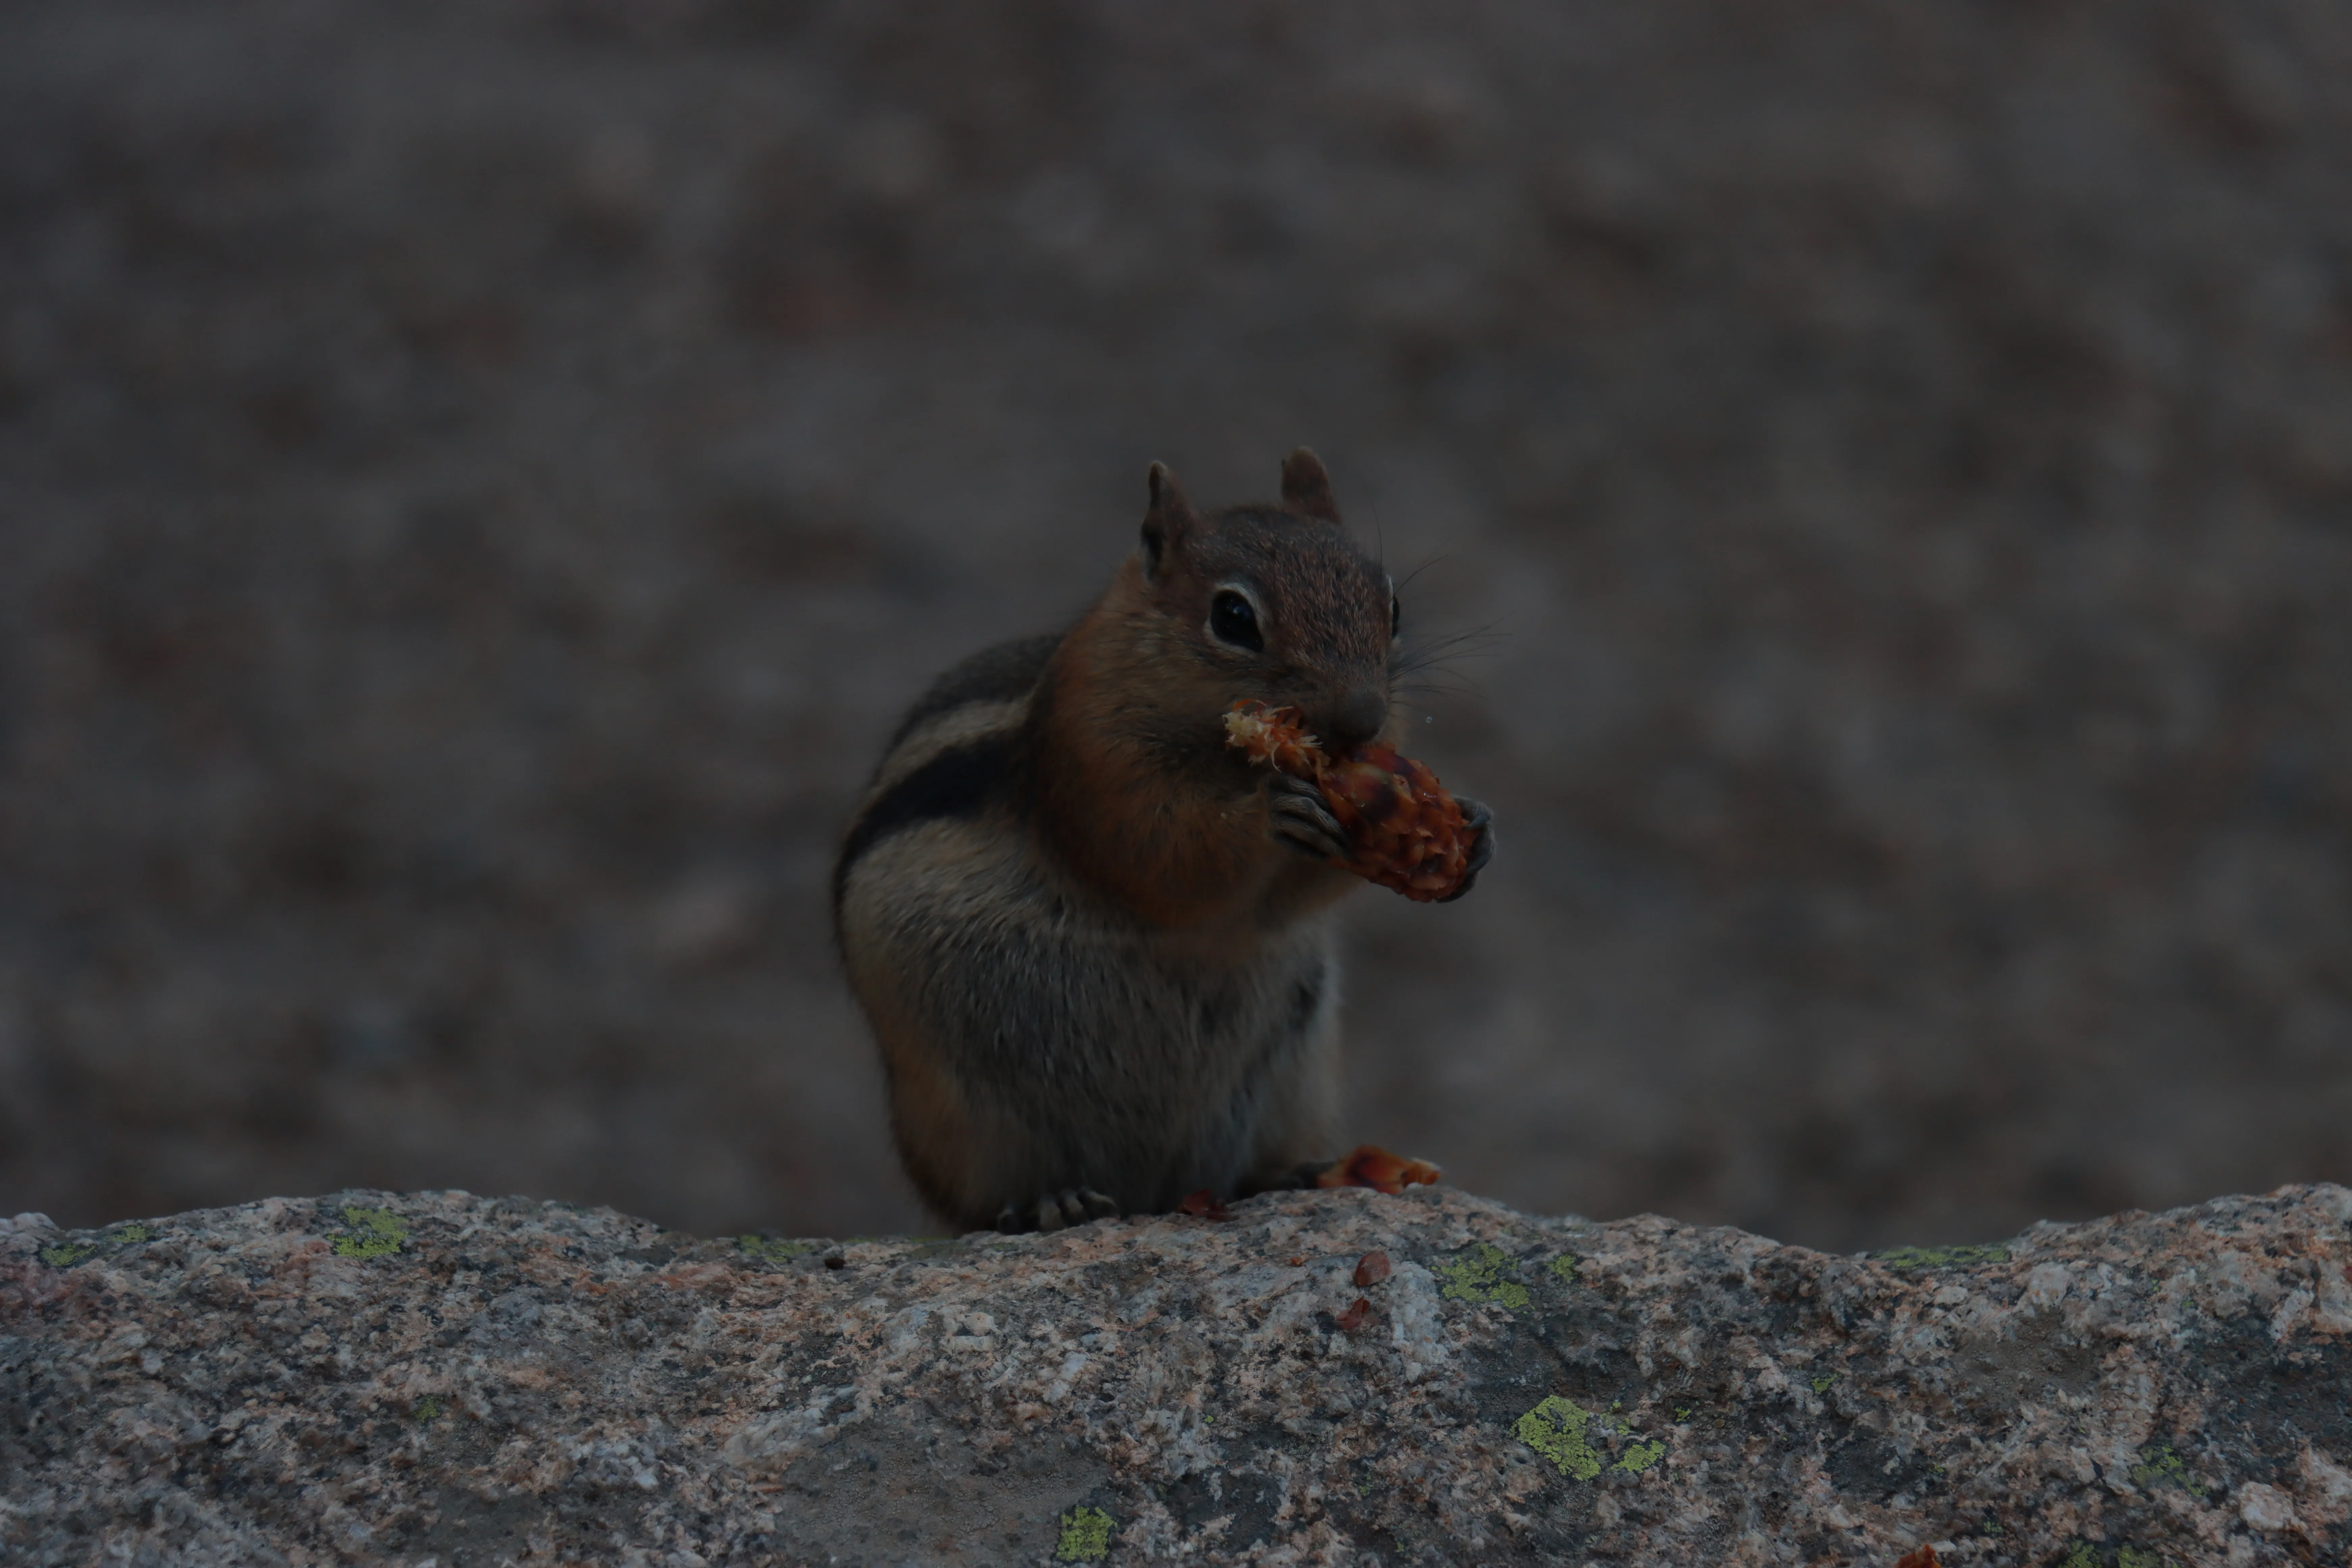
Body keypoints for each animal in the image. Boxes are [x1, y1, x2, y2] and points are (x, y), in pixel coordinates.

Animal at [832, 449, 1493, 1233]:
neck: (1229, 756)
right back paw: (1053, 1200)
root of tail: (1152, 1194)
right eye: (1233, 617)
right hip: (964, 1116)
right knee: (989, 1202)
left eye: (1391, 606)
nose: (1362, 719)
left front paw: (1474, 825)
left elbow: (1291, 899)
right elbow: (1160, 857)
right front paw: (1268, 815)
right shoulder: (1093, 762)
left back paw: (1299, 1172)